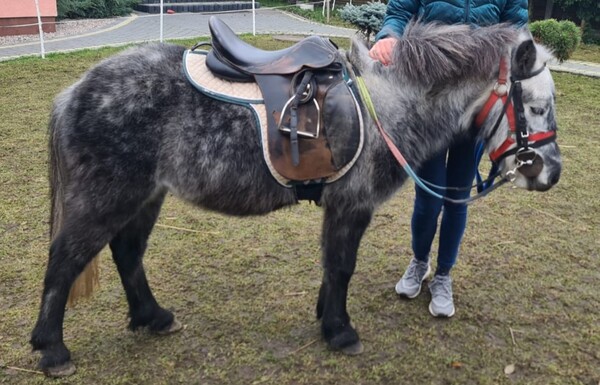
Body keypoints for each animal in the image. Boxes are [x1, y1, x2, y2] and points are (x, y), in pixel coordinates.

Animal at [30, 21, 560, 376]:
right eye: (536, 107)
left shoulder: (339, 206)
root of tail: (75, 90)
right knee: (65, 260)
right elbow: (342, 266)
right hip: (108, 196)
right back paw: (53, 350)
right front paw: (341, 332)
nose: (550, 173)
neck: (385, 103)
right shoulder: (353, 205)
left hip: (146, 195)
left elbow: (331, 265)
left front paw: (326, 318)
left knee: (127, 252)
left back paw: (152, 317)